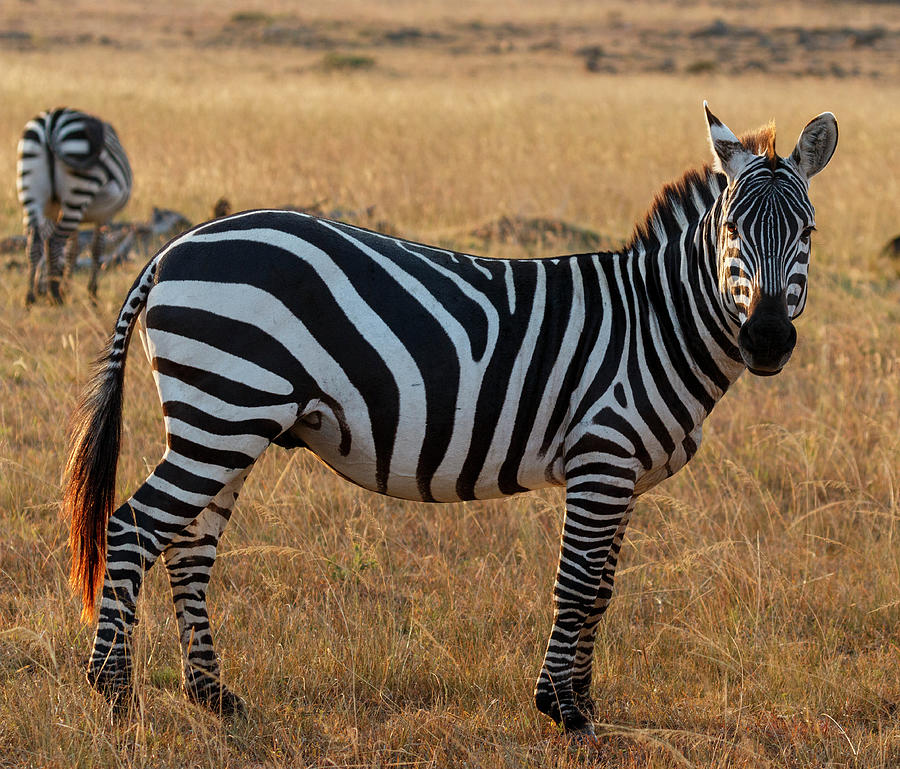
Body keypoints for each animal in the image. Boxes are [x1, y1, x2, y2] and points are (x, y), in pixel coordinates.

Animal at [15, 107, 133, 304]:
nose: (40, 290)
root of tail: (51, 124)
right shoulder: (104, 217)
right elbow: (95, 249)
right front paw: (91, 293)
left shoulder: (56, 215)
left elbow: (71, 250)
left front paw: (64, 287)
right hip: (79, 188)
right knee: (54, 241)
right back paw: (54, 295)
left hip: (31, 191)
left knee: (34, 241)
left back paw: (30, 296)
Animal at [61, 105, 836, 736]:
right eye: (731, 229)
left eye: (808, 230)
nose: (768, 339)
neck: (654, 321)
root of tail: (174, 248)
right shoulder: (601, 458)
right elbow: (578, 584)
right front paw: (563, 709)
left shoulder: (622, 477)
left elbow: (603, 590)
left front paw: (585, 702)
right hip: (222, 411)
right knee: (132, 527)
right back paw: (114, 694)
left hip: (227, 421)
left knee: (189, 547)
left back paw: (213, 696)